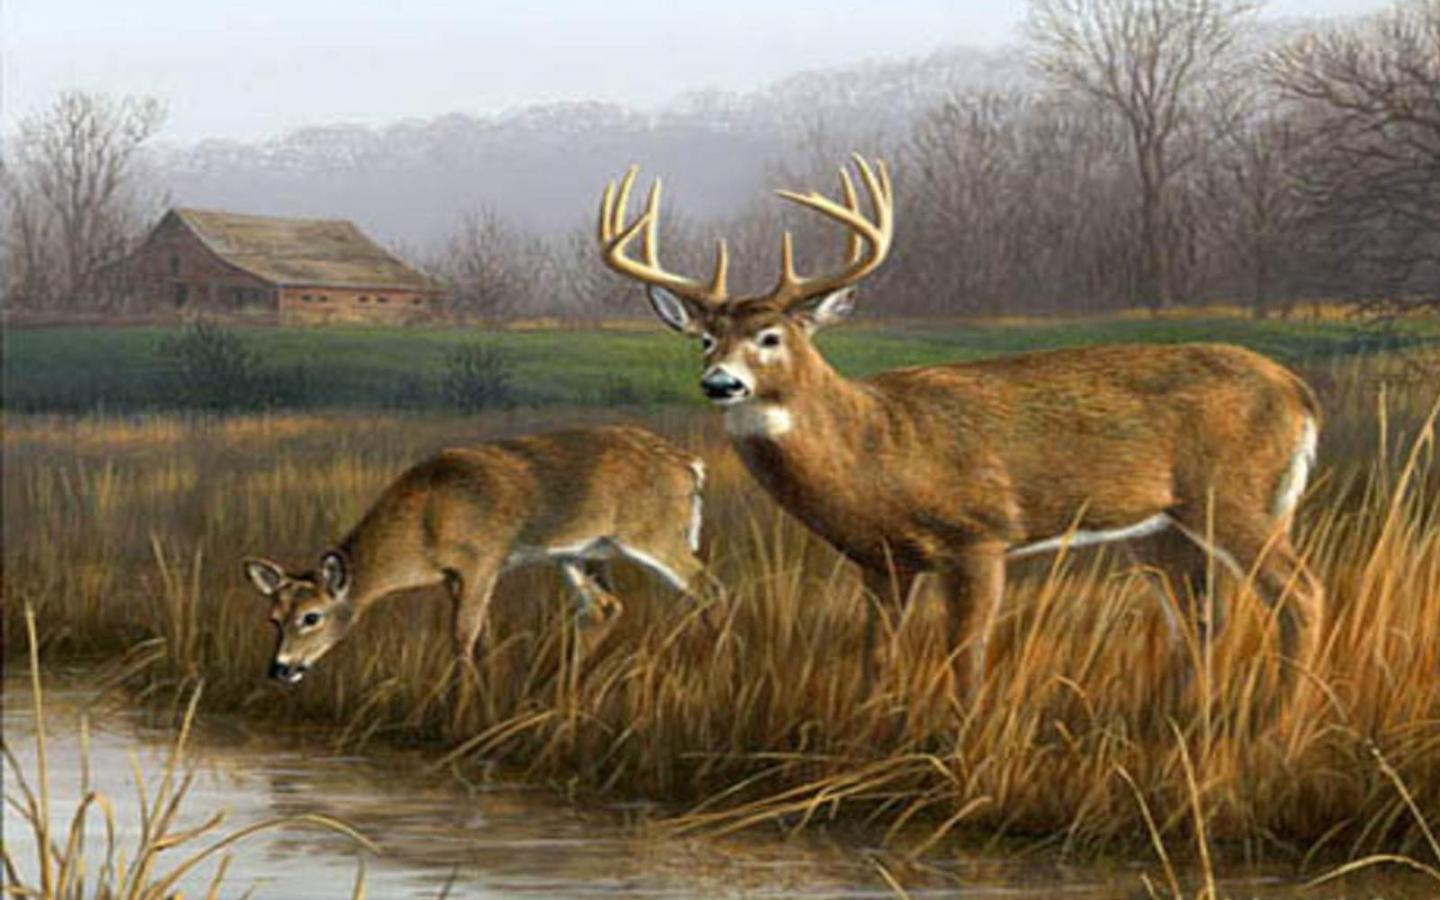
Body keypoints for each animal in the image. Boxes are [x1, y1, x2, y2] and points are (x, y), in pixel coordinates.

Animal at [242, 425, 707, 684]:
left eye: (312, 617)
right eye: (273, 619)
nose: (280, 669)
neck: (422, 526)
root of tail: (691, 466)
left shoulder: (483, 560)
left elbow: (463, 635)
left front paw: (459, 707)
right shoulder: (455, 576)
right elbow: (481, 634)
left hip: (657, 533)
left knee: (706, 587)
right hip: (582, 553)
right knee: (604, 608)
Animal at [594, 154, 1325, 703]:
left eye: (770, 337)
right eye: (705, 340)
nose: (720, 383)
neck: (876, 451)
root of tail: (1300, 392)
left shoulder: (981, 536)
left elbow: (965, 661)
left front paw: (957, 746)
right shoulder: (881, 561)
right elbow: (877, 660)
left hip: (1234, 495)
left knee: (1300, 595)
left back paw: (1277, 723)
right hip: (1161, 529)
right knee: (1204, 619)